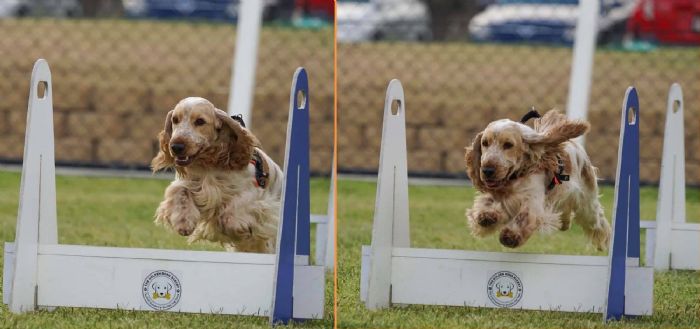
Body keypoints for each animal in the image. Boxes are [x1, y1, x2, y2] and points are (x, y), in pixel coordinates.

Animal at [152, 96, 284, 252]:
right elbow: (180, 191)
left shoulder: (255, 194)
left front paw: (239, 228)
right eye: (175, 119)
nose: (176, 147)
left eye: (200, 121)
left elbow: (232, 212)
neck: (209, 165)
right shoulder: (190, 184)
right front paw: (183, 223)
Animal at [468, 110, 608, 249]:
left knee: (598, 222)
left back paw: (604, 242)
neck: (516, 177)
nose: (487, 170)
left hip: (587, 205)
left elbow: (524, 217)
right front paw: (486, 216)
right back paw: (564, 223)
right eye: (485, 143)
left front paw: (510, 236)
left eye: (508, 145)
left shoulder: (533, 199)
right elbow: (487, 204)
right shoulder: (499, 195)